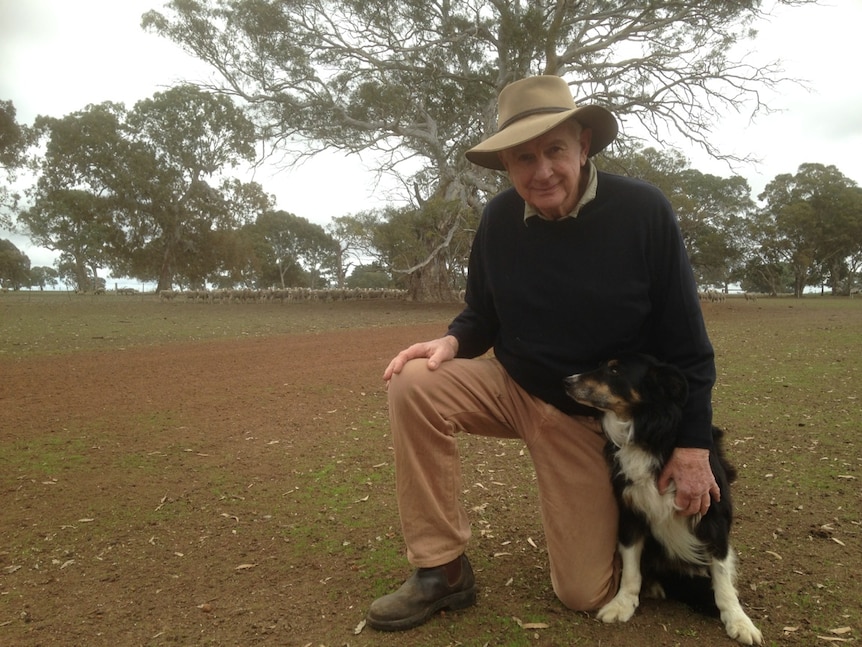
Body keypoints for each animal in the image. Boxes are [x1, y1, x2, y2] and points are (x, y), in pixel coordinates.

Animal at [568, 356, 764, 644]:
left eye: (614, 369)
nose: (566, 381)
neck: (649, 432)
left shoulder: (712, 516)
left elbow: (722, 575)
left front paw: (738, 621)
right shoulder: (630, 512)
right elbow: (631, 568)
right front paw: (622, 604)